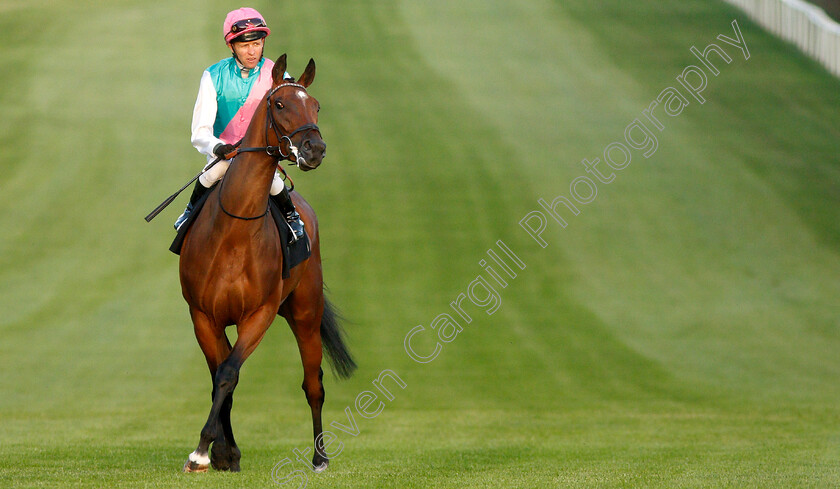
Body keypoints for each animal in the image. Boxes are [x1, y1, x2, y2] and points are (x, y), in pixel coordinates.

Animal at [179, 54, 356, 472]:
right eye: (279, 104)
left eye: (316, 106)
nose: (314, 149)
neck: (234, 231)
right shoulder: (203, 316)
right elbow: (220, 377)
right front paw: (222, 452)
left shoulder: (258, 314)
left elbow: (228, 373)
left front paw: (203, 450)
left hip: (305, 313)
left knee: (313, 383)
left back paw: (319, 456)